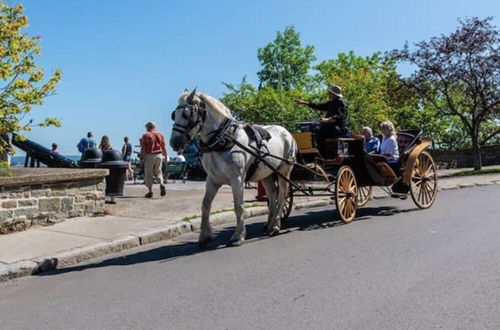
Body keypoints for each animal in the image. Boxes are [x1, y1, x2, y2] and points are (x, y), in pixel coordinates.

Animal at [171, 90, 296, 248]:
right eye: (173, 114)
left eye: (186, 114)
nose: (174, 142)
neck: (223, 141)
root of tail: (286, 131)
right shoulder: (212, 179)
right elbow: (205, 205)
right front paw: (205, 236)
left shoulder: (237, 179)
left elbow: (239, 206)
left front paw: (238, 236)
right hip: (267, 172)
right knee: (272, 194)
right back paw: (269, 224)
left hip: (284, 170)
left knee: (282, 195)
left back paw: (275, 226)